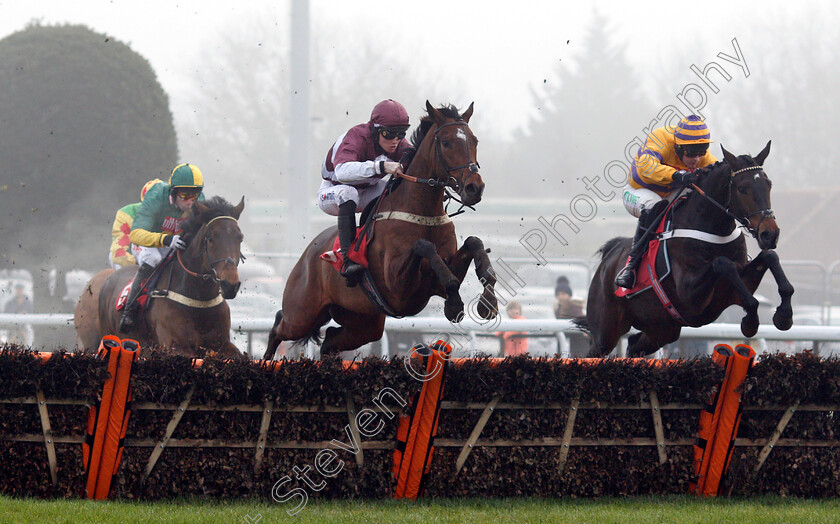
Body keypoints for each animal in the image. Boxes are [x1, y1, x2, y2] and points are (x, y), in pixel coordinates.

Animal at [74, 194, 246, 358]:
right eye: (210, 238)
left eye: (240, 237)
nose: (230, 285)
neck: (198, 300)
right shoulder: (174, 345)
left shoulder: (222, 344)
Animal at [262, 100, 498, 358]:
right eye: (446, 142)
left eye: (474, 140)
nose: (474, 188)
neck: (422, 213)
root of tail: (307, 254)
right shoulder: (398, 286)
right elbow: (423, 246)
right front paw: (455, 304)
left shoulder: (432, 281)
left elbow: (474, 243)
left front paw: (488, 301)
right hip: (302, 312)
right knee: (278, 326)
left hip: (363, 322)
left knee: (329, 341)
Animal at [576, 141, 796, 358]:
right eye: (742, 188)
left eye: (768, 184)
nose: (769, 234)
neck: (711, 229)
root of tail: (610, 255)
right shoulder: (690, 296)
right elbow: (723, 263)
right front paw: (750, 321)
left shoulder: (738, 286)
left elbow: (770, 256)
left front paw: (783, 315)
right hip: (605, 331)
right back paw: (626, 276)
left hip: (662, 329)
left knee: (633, 346)